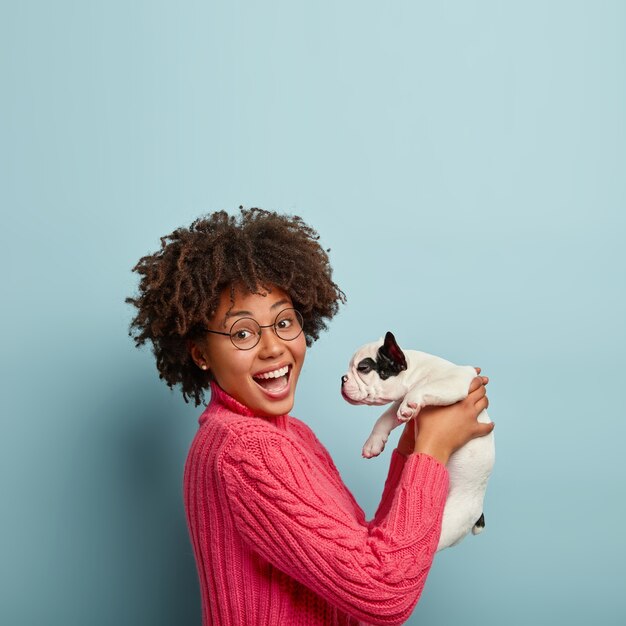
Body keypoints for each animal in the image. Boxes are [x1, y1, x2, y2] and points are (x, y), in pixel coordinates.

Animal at [342, 330, 492, 548]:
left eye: (363, 368)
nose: (342, 378)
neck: (417, 372)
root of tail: (479, 509)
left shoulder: (454, 382)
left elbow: (418, 392)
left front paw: (410, 402)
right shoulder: (397, 404)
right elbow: (384, 418)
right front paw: (373, 443)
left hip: (452, 519)